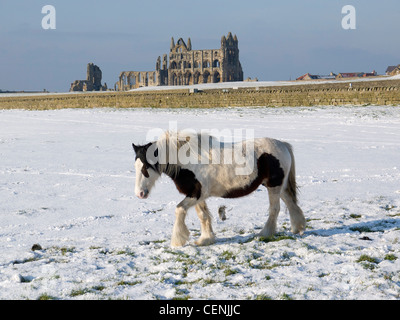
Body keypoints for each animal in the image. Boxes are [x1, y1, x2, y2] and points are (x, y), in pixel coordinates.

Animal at [132, 131, 306, 248]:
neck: (188, 162)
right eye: (136, 166)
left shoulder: (196, 194)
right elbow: (203, 216)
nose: (140, 194)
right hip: (279, 186)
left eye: (145, 167)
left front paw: (178, 240)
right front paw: (206, 239)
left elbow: (179, 210)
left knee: (275, 209)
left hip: (274, 187)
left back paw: (265, 234)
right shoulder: (197, 195)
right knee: (291, 204)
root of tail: (283, 145)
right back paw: (298, 228)